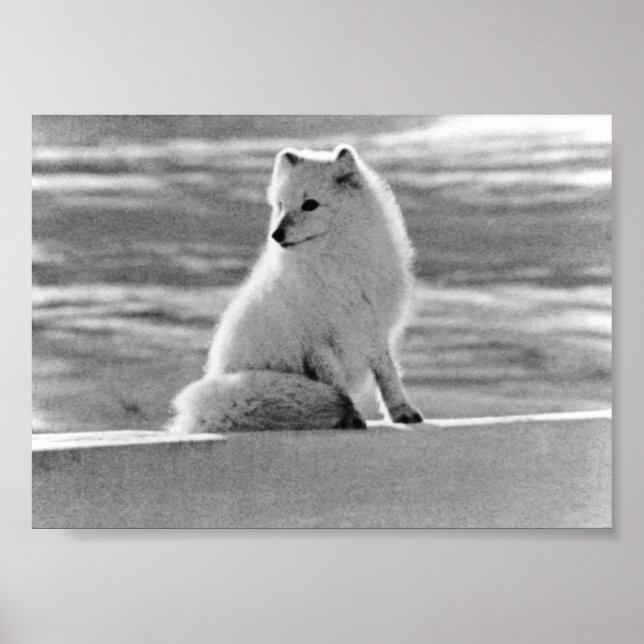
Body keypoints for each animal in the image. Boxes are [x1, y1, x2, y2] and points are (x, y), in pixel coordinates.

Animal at [169, 144, 423, 433]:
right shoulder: (317, 341)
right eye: (281, 205)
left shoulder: (374, 327)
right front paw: (352, 417)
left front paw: (403, 412)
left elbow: (388, 375)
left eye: (309, 204)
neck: (338, 266)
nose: (276, 235)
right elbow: (338, 386)